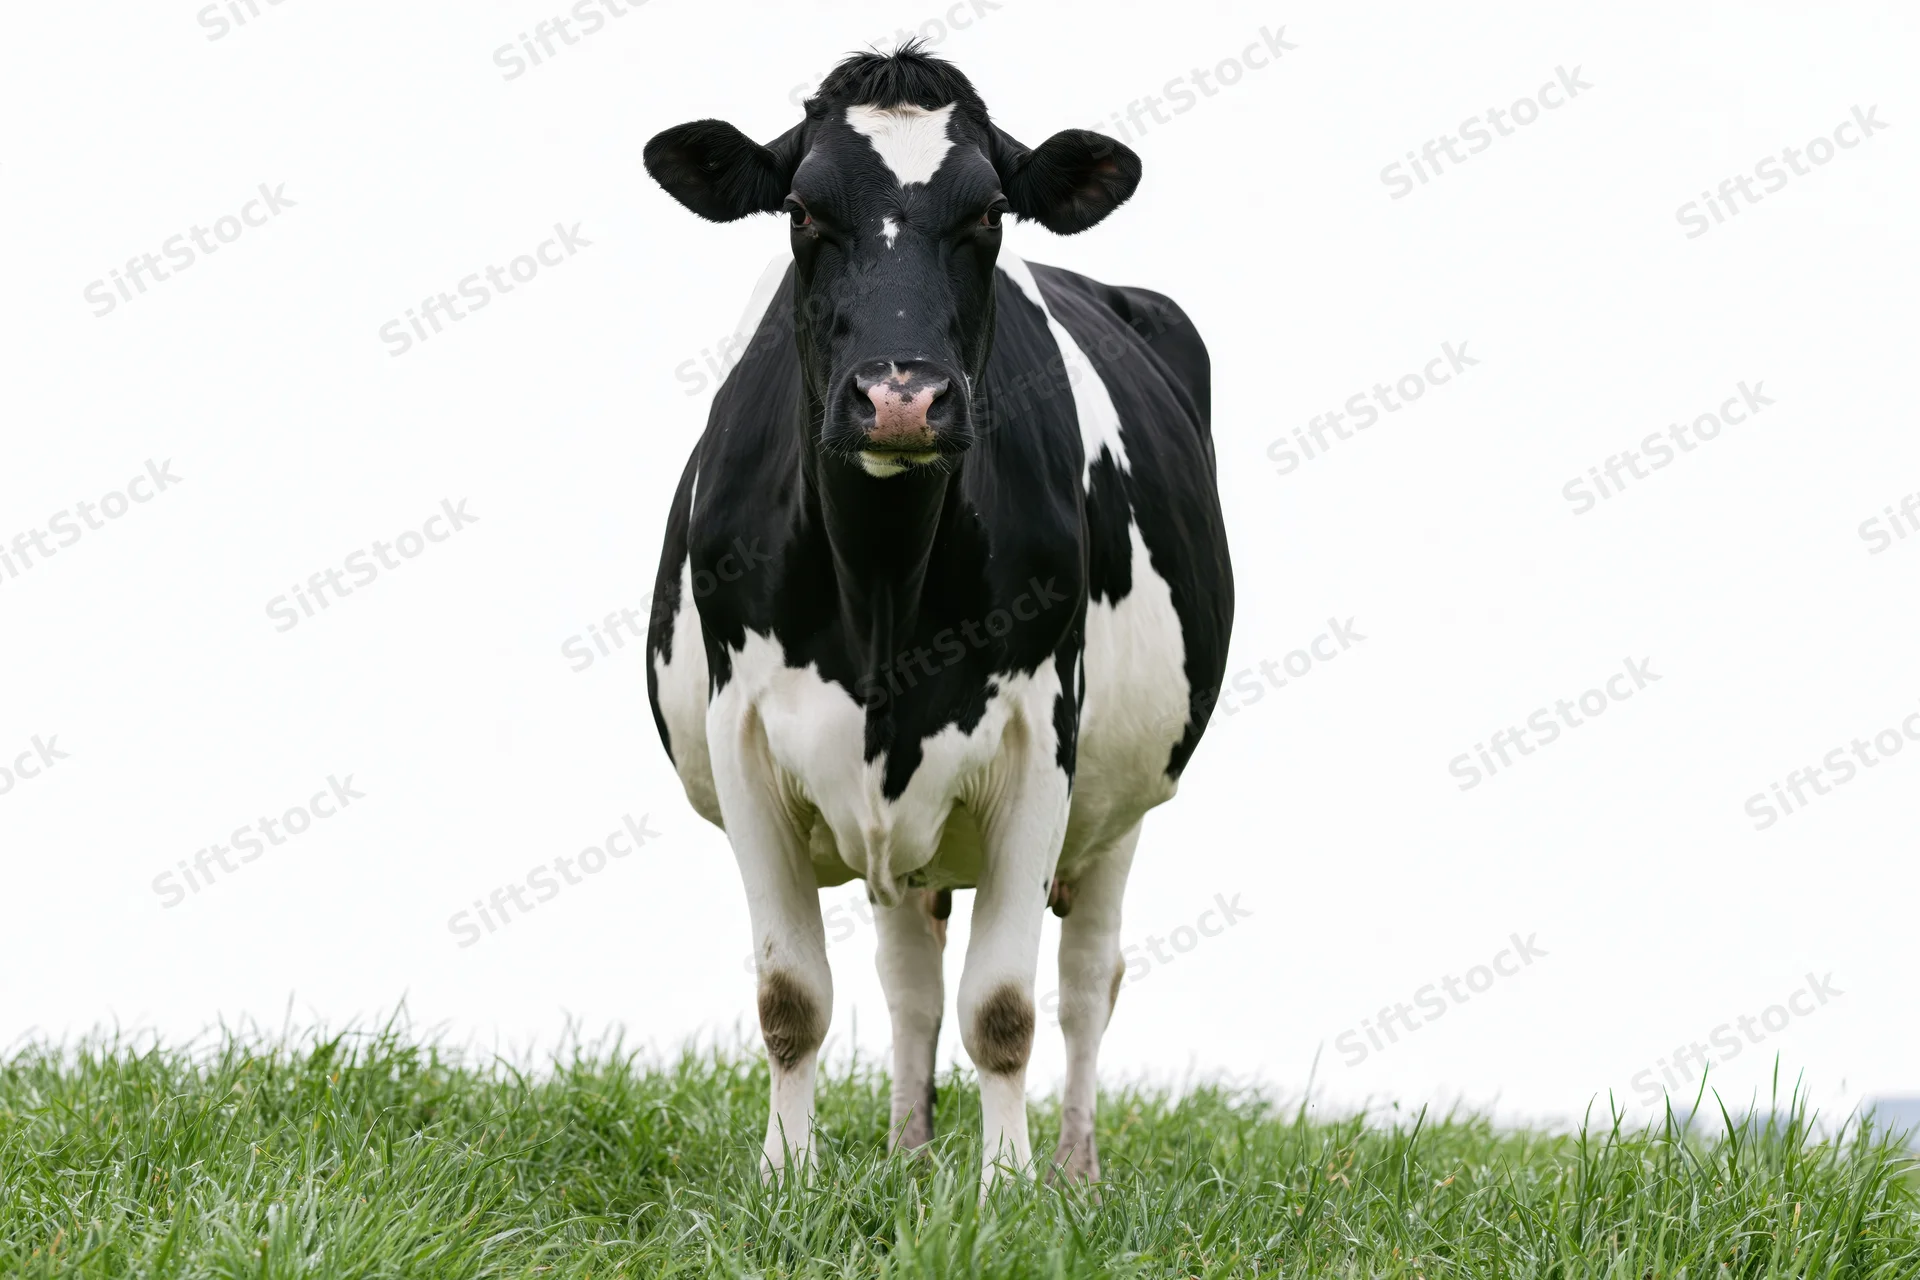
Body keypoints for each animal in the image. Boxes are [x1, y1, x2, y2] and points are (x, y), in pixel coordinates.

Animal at [641, 44, 1233, 1189]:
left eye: (990, 213)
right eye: (802, 210)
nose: (902, 397)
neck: (883, 587)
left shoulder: (1041, 741)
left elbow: (1004, 1009)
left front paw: (1006, 1192)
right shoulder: (745, 739)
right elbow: (793, 998)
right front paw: (788, 1180)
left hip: (1122, 804)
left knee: (1088, 982)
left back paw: (1074, 1172)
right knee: (909, 975)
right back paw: (908, 1154)